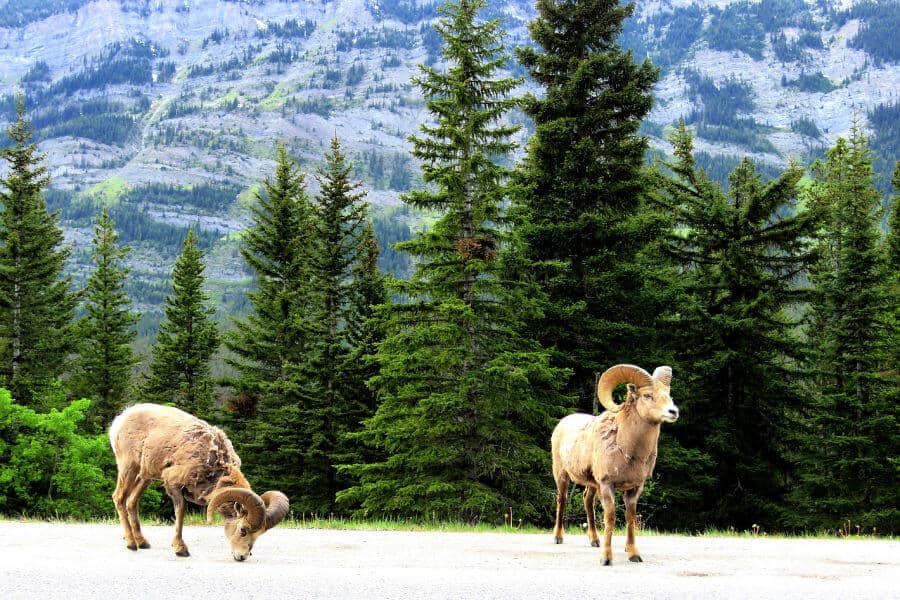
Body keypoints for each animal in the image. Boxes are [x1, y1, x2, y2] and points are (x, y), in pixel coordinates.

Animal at [109, 403, 289, 561]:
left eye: (259, 535)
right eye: (243, 530)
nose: (242, 556)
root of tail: (120, 420)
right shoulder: (173, 484)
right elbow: (181, 512)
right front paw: (181, 549)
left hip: (145, 476)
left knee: (132, 502)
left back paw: (142, 542)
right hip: (128, 468)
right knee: (119, 498)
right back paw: (131, 544)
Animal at [551, 364, 679, 565]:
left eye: (668, 394)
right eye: (647, 395)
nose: (673, 412)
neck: (627, 448)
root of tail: (561, 424)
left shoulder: (635, 488)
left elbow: (630, 517)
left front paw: (633, 554)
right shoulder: (607, 484)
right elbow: (610, 518)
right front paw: (606, 558)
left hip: (592, 484)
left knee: (587, 500)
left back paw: (595, 541)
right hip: (562, 476)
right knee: (561, 500)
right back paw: (558, 538)